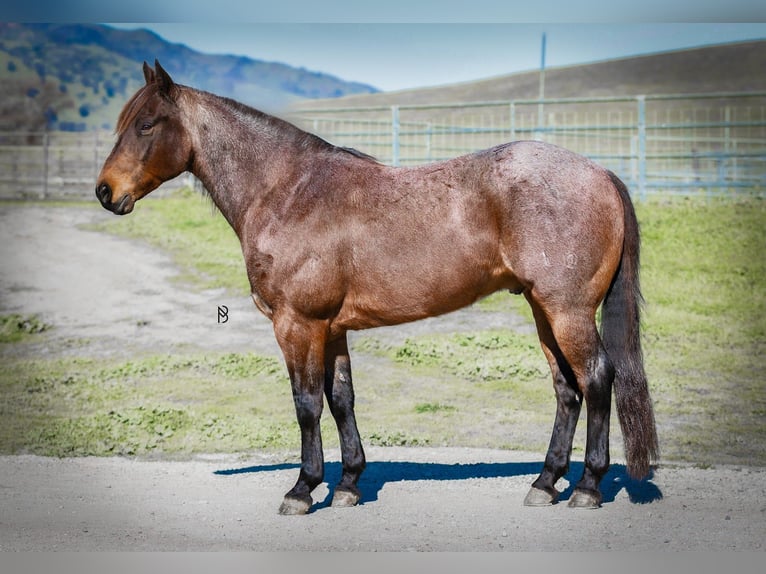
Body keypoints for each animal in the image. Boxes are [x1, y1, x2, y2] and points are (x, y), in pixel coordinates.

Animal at [96, 60, 658, 514]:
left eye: (146, 124)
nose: (105, 192)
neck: (287, 190)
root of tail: (601, 173)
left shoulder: (297, 324)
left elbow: (306, 403)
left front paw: (302, 489)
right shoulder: (332, 328)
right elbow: (341, 398)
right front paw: (347, 484)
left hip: (567, 311)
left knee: (596, 379)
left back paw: (586, 487)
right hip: (545, 311)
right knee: (567, 389)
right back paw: (544, 483)